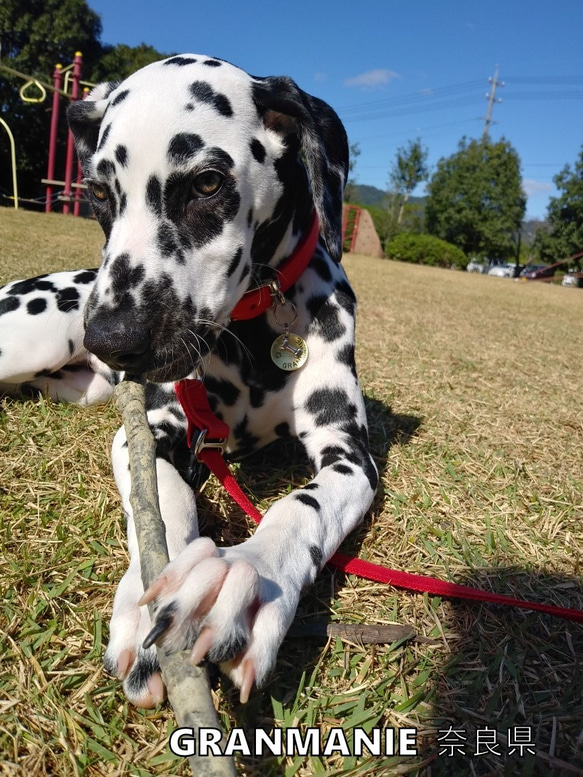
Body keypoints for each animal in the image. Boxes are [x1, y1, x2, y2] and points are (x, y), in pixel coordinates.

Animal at [0, 57, 378, 708]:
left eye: (206, 183)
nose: (110, 338)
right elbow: (165, 499)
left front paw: (246, 576)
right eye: (97, 192)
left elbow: (303, 507)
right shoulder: (147, 433)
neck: (252, 331)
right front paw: (144, 601)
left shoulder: (350, 455)